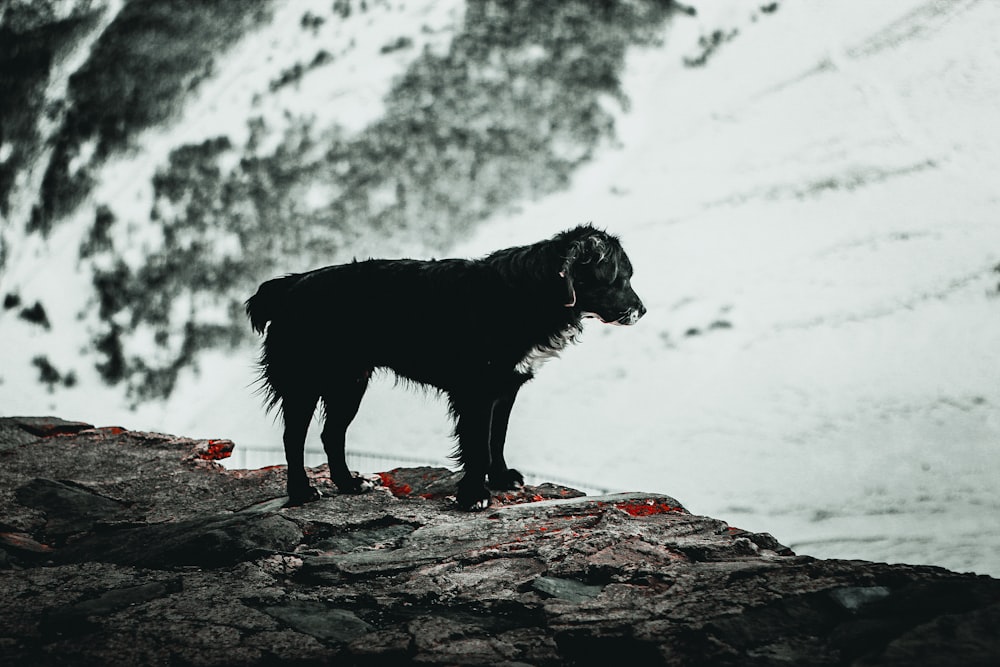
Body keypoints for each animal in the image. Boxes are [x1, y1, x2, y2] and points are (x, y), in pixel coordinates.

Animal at [246, 224, 644, 512]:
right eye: (619, 278)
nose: (642, 310)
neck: (529, 294)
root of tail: (290, 284)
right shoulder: (477, 391)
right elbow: (478, 446)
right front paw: (474, 495)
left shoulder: (506, 388)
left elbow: (496, 438)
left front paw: (501, 478)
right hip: (306, 381)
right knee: (293, 437)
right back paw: (302, 491)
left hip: (350, 382)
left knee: (331, 434)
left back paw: (348, 483)